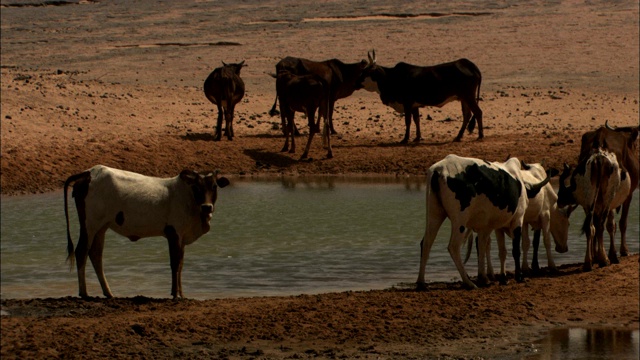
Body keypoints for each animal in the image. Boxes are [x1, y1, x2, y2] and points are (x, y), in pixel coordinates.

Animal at [62, 165, 231, 298]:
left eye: (214, 186)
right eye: (196, 187)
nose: (207, 207)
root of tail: (88, 172)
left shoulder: (182, 238)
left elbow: (181, 265)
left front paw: (182, 294)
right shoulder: (173, 234)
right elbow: (175, 263)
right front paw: (175, 294)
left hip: (101, 227)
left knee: (95, 255)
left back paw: (108, 293)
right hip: (89, 225)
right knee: (81, 251)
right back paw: (84, 293)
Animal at [416, 155, 552, 290]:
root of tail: (439, 170)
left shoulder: (488, 227)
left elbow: (486, 247)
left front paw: (486, 277)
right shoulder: (517, 220)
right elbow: (515, 250)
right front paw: (519, 276)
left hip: (434, 215)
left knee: (426, 243)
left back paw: (421, 282)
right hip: (460, 221)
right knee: (453, 247)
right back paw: (468, 282)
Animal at [576, 121, 636, 262]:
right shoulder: (628, 195)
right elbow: (620, 223)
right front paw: (622, 251)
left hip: (588, 199)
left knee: (591, 224)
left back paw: (590, 259)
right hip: (608, 197)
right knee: (601, 224)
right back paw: (605, 258)